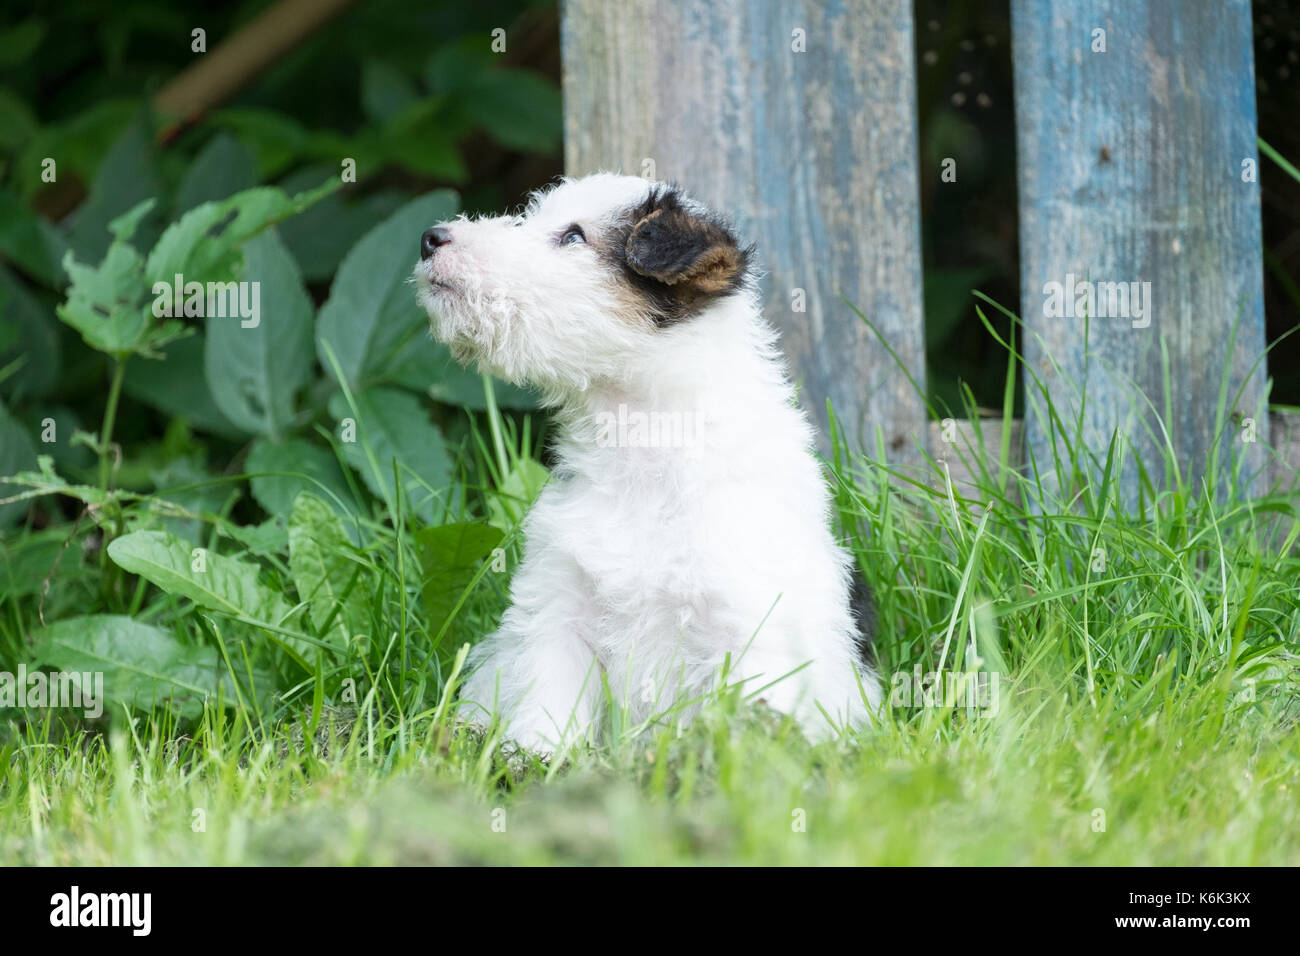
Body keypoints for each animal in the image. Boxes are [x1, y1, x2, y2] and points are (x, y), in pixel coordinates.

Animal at [413, 171, 883, 754]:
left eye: (573, 237)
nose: (432, 237)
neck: (641, 446)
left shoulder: (748, 626)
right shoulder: (559, 611)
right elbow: (548, 708)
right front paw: (534, 761)